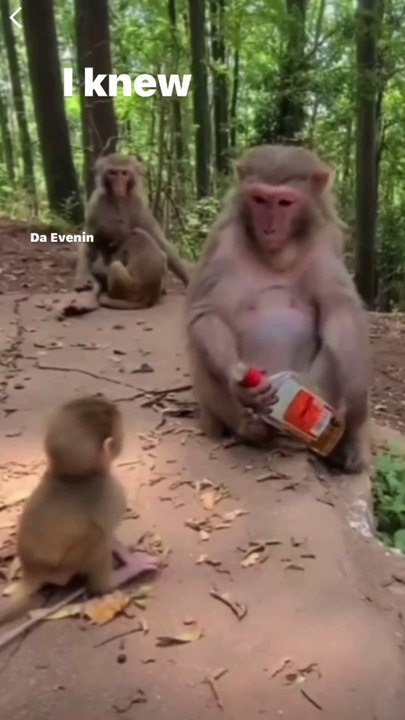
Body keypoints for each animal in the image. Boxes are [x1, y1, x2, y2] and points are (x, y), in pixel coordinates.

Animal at [0, 396, 159, 626]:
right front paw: (131, 561)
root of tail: (31, 572)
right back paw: (116, 578)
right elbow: (105, 527)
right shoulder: (109, 491)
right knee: (97, 536)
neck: (71, 476)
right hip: (65, 566)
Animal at [74, 154, 189, 307]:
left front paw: (188, 279)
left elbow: (160, 242)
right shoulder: (95, 203)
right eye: (112, 173)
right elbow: (89, 242)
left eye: (124, 173)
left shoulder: (138, 203)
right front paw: (83, 277)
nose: (118, 186)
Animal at [186, 144, 370, 474]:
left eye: (284, 202)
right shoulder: (223, 239)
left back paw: (340, 443)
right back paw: (250, 427)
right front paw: (240, 383)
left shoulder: (324, 241)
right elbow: (207, 314)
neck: (277, 253)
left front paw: (356, 405)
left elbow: (340, 312)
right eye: (259, 200)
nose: (269, 228)